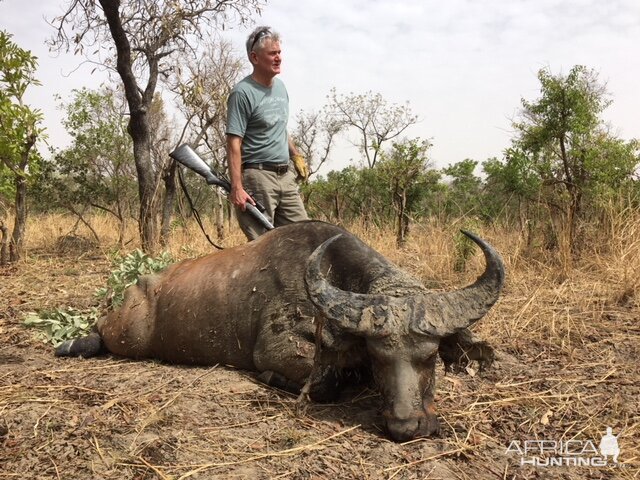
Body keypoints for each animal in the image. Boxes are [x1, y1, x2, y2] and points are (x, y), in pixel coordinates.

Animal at [56, 221, 504, 442]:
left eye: (430, 357)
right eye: (379, 358)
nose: (406, 428)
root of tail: (135, 287)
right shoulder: (278, 351)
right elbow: (323, 381)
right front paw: (274, 380)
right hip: (125, 334)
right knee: (100, 331)